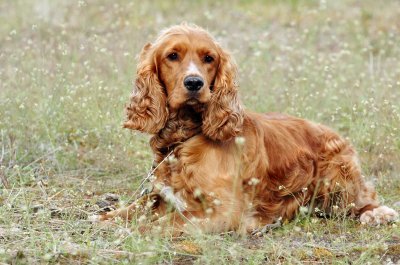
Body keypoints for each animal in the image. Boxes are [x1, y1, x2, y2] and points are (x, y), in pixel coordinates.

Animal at [92, 24, 398, 233]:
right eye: (172, 56)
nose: (194, 83)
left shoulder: (221, 211)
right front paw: (104, 218)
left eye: (209, 58)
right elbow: (132, 210)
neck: (185, 136)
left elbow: (165, 221)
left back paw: (376, 214)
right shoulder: (159, 196)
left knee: (364, 199)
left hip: (337, 178)